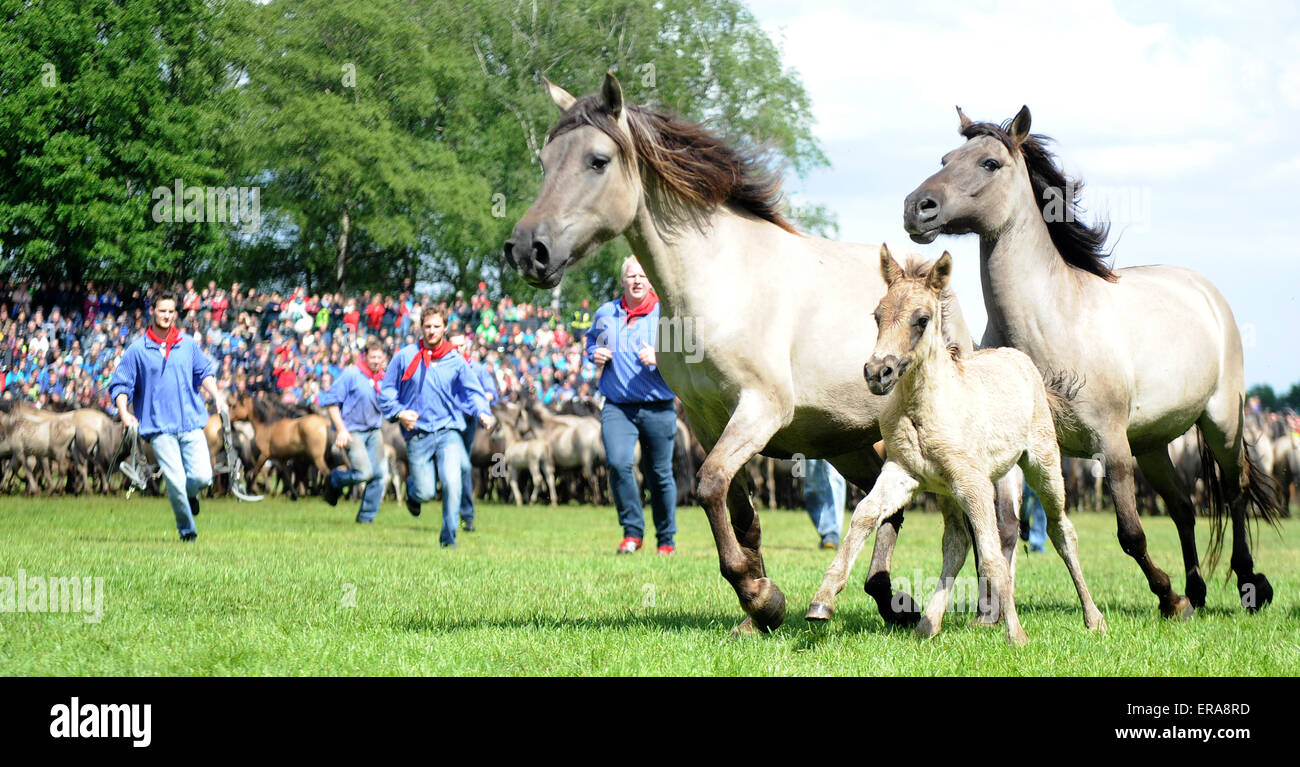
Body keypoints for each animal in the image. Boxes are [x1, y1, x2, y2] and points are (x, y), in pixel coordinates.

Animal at [501, 73, 1019, 637]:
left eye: (597, 161)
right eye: (545, 161)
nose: (528, 249)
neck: (720, 280)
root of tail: (934, 283)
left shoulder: (760, 410)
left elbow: (708, 486)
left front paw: (760, 596)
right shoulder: (707, 421)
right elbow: (738, 510)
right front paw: (759, 610)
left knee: (975, 515)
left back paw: (973, 610)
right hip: (848, 443)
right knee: (886, 509)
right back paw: (886, 599)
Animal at [806, 249, 1102, 647]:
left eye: (921, 319)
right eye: (878, 314)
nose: (877, 372)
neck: (926, 407)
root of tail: (1023, 361)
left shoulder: (974, 484)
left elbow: (992, 555)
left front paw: (1016, 634)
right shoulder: (903, 473)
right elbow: (865, 516)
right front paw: (822, 599)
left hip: (1041, 466)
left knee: (1060, 530)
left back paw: (1093, 618)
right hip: (946, 491)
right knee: (957, 543)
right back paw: (928, 623)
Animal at [904, 106, 1279, 618]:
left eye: (989, 163)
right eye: (945, 158)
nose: (915, 206)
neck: (1051, 324)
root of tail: (1205, 291)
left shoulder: (1111, 447)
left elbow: (1131, 534)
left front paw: (1168, 597)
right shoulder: (1020, 451)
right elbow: (1003, 531)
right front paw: (989, 613)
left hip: (1221, 422)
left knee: (1235, 493)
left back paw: (1246, 584)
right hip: (1152, 442)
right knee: (1183, 507)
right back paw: (1198, 590)